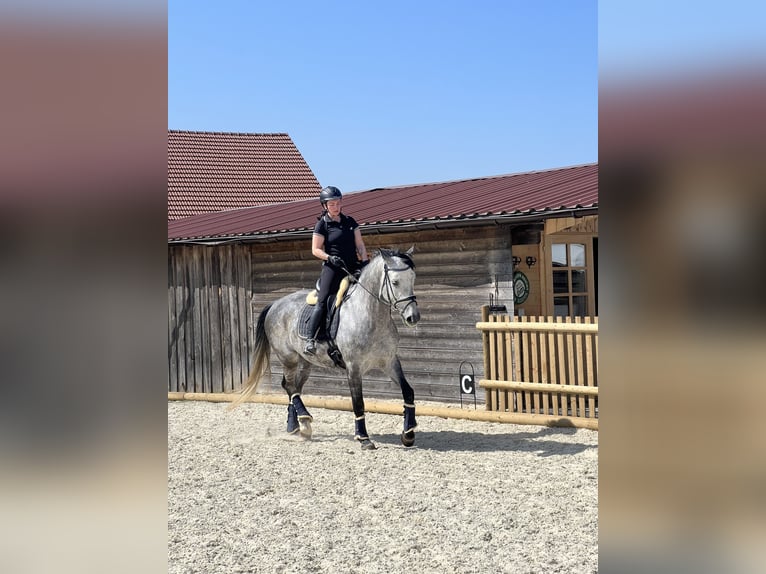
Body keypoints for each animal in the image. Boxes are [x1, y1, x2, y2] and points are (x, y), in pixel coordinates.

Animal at [230, 247, 421, 450]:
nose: (413, 317)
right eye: (395, 282)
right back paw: (304, 421)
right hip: (288, 358)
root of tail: (275, 304)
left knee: (293, 387)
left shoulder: (390, 362)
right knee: (290, 386)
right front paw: (363, 438)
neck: (370, 316)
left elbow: (408, 392)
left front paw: (408, 434)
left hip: (305, 363)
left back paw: (296, 427)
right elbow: (358, 403)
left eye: (413, 278)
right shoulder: (353, 367)